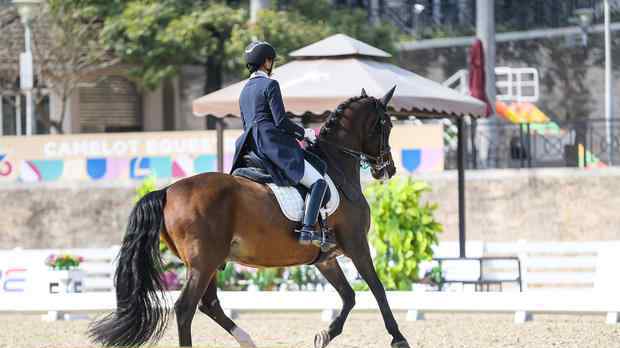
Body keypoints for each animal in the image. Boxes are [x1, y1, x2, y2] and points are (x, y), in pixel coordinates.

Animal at [88, 86, 412, 348]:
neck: (336, 166)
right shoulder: (357, 245)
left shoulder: (326, 258)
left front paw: (324, 334)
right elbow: (377, 289)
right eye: (387, 124)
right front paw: (398, 338)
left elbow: (349, 296)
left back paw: (247, 339)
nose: (388, 169)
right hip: (204, 262)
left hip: (207, 263)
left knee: (209, 304)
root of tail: (167, 190)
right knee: (185, 309)